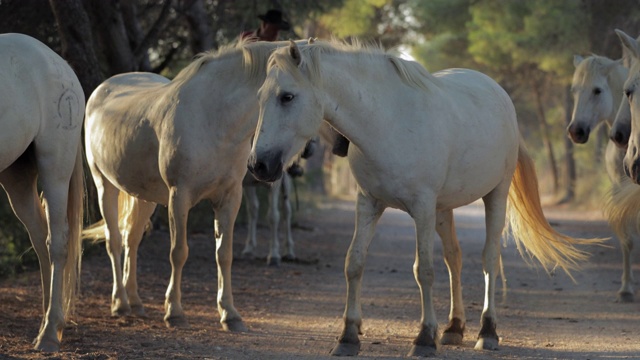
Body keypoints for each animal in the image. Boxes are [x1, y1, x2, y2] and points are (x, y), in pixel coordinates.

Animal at [0, 33, 84, 352]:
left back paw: (49, 333)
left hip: (55, 171)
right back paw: (50, 322)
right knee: (40, 239)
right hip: (16, 178)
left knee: (56, 242)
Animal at [81, 40, 292, 330]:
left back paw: (135, 301)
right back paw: (120, 303)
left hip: (143, 197)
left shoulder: (230, 197)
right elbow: (178, 252)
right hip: (105, 186)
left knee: (131, 240)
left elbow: (224, 254)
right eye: (287, 96)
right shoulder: (179, 196)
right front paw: (174, 311)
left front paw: (230, 314)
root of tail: (101, 90)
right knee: (113, 241)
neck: (215, 118)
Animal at [248, 40, 604, 358]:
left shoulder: (421, 208)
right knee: (454, 258)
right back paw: (454, 327)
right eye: (260, 97)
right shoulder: (368, 203)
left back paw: (487, 332)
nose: (258, 165)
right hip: (443, 209)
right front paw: (348, 337)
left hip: (495, 196)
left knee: (489, 259)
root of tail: (497, 92)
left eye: (287, 96)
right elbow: (355, 263)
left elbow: (424, 271)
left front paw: (423, 339)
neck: (386, 123)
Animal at [568, 52, 636, 300]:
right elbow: (627, 239)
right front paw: (626, 288)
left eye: (597, 90)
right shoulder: (619, 191)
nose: (575, 131)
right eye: (574, 90)